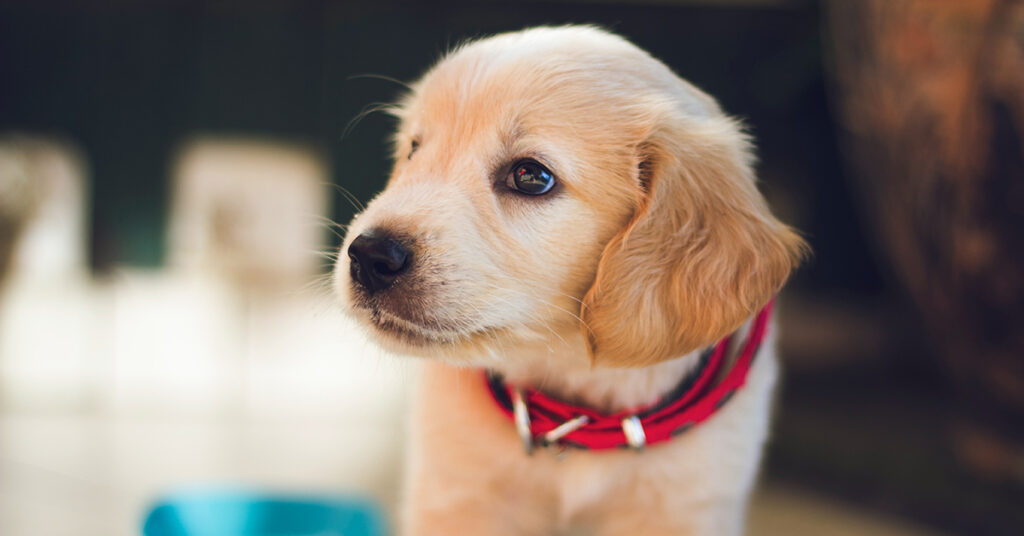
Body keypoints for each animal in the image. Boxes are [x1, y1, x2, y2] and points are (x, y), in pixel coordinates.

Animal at [335, 25, 806, 536]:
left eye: (530, 176)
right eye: (413, 149)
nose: (368, 256)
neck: (575, 407)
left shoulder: (686, 507)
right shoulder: (455, 494)